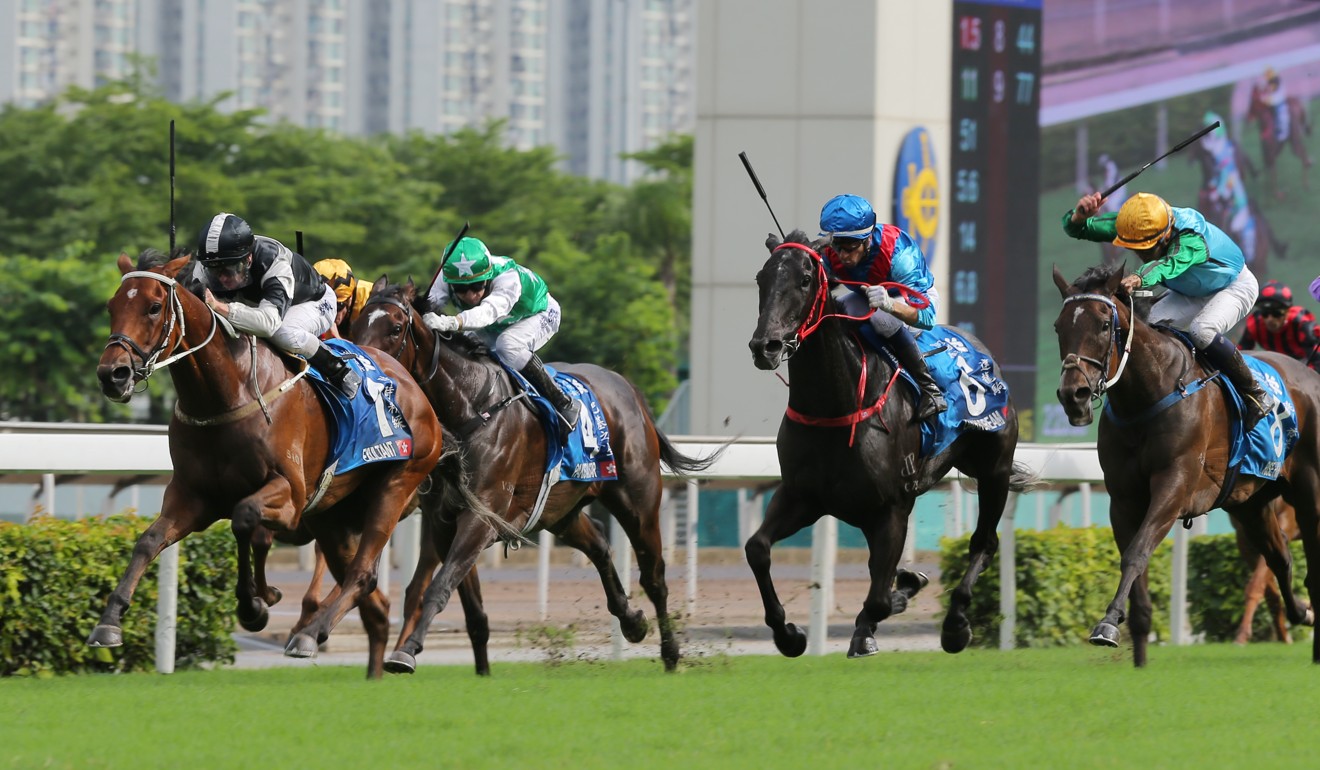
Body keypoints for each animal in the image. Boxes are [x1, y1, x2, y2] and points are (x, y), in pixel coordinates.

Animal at [94, 249, 443, 676]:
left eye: (154, 307)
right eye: (112, 306)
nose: (112, 374)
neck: (227, 392)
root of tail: (412, 385)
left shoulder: (290, 494)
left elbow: (245, 521)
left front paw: (255, 603)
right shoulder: (192, 495)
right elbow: (148, 541)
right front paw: (109, 622)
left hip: (397, 484)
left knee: (362, 574)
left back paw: (311, 633)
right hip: (333, 518)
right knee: (373, 601)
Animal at [345, 278, 718, 676]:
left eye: (396, 328)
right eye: (359, 321)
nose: (363, 362)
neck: (470, 407)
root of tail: (627, 386)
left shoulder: (482, 516)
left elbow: (439, 586)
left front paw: (406, 652)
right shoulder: (444, 522)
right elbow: (465, 601)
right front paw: (455, 662)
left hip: (638, 501)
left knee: (654, 576)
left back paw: (670, 652)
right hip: (560, 511)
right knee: (599, 545)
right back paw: (632, 621)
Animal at [749, 232, 1034, 660]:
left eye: (804, 280)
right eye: (761, 279)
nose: (764, 346)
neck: (838, 406)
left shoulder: (893, 507)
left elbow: (881, 596)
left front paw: (872, 624)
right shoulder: (802, 496)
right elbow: (758, 548)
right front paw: (789, 634)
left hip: (994, 470)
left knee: (984, 542)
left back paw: (955, 624)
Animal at [1050, 264, 1320, 663]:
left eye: (1103, 324)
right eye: (1059, 326)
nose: (1074, 395)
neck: (1148, 394)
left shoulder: (1174, 484)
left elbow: (1137, 553)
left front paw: (1107, 623)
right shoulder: (1124, 499)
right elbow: (1135, 564)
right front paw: (1135, 652)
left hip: (1309, 495)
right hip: (1251, 505)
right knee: (1280, 558)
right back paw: (1302, 612)